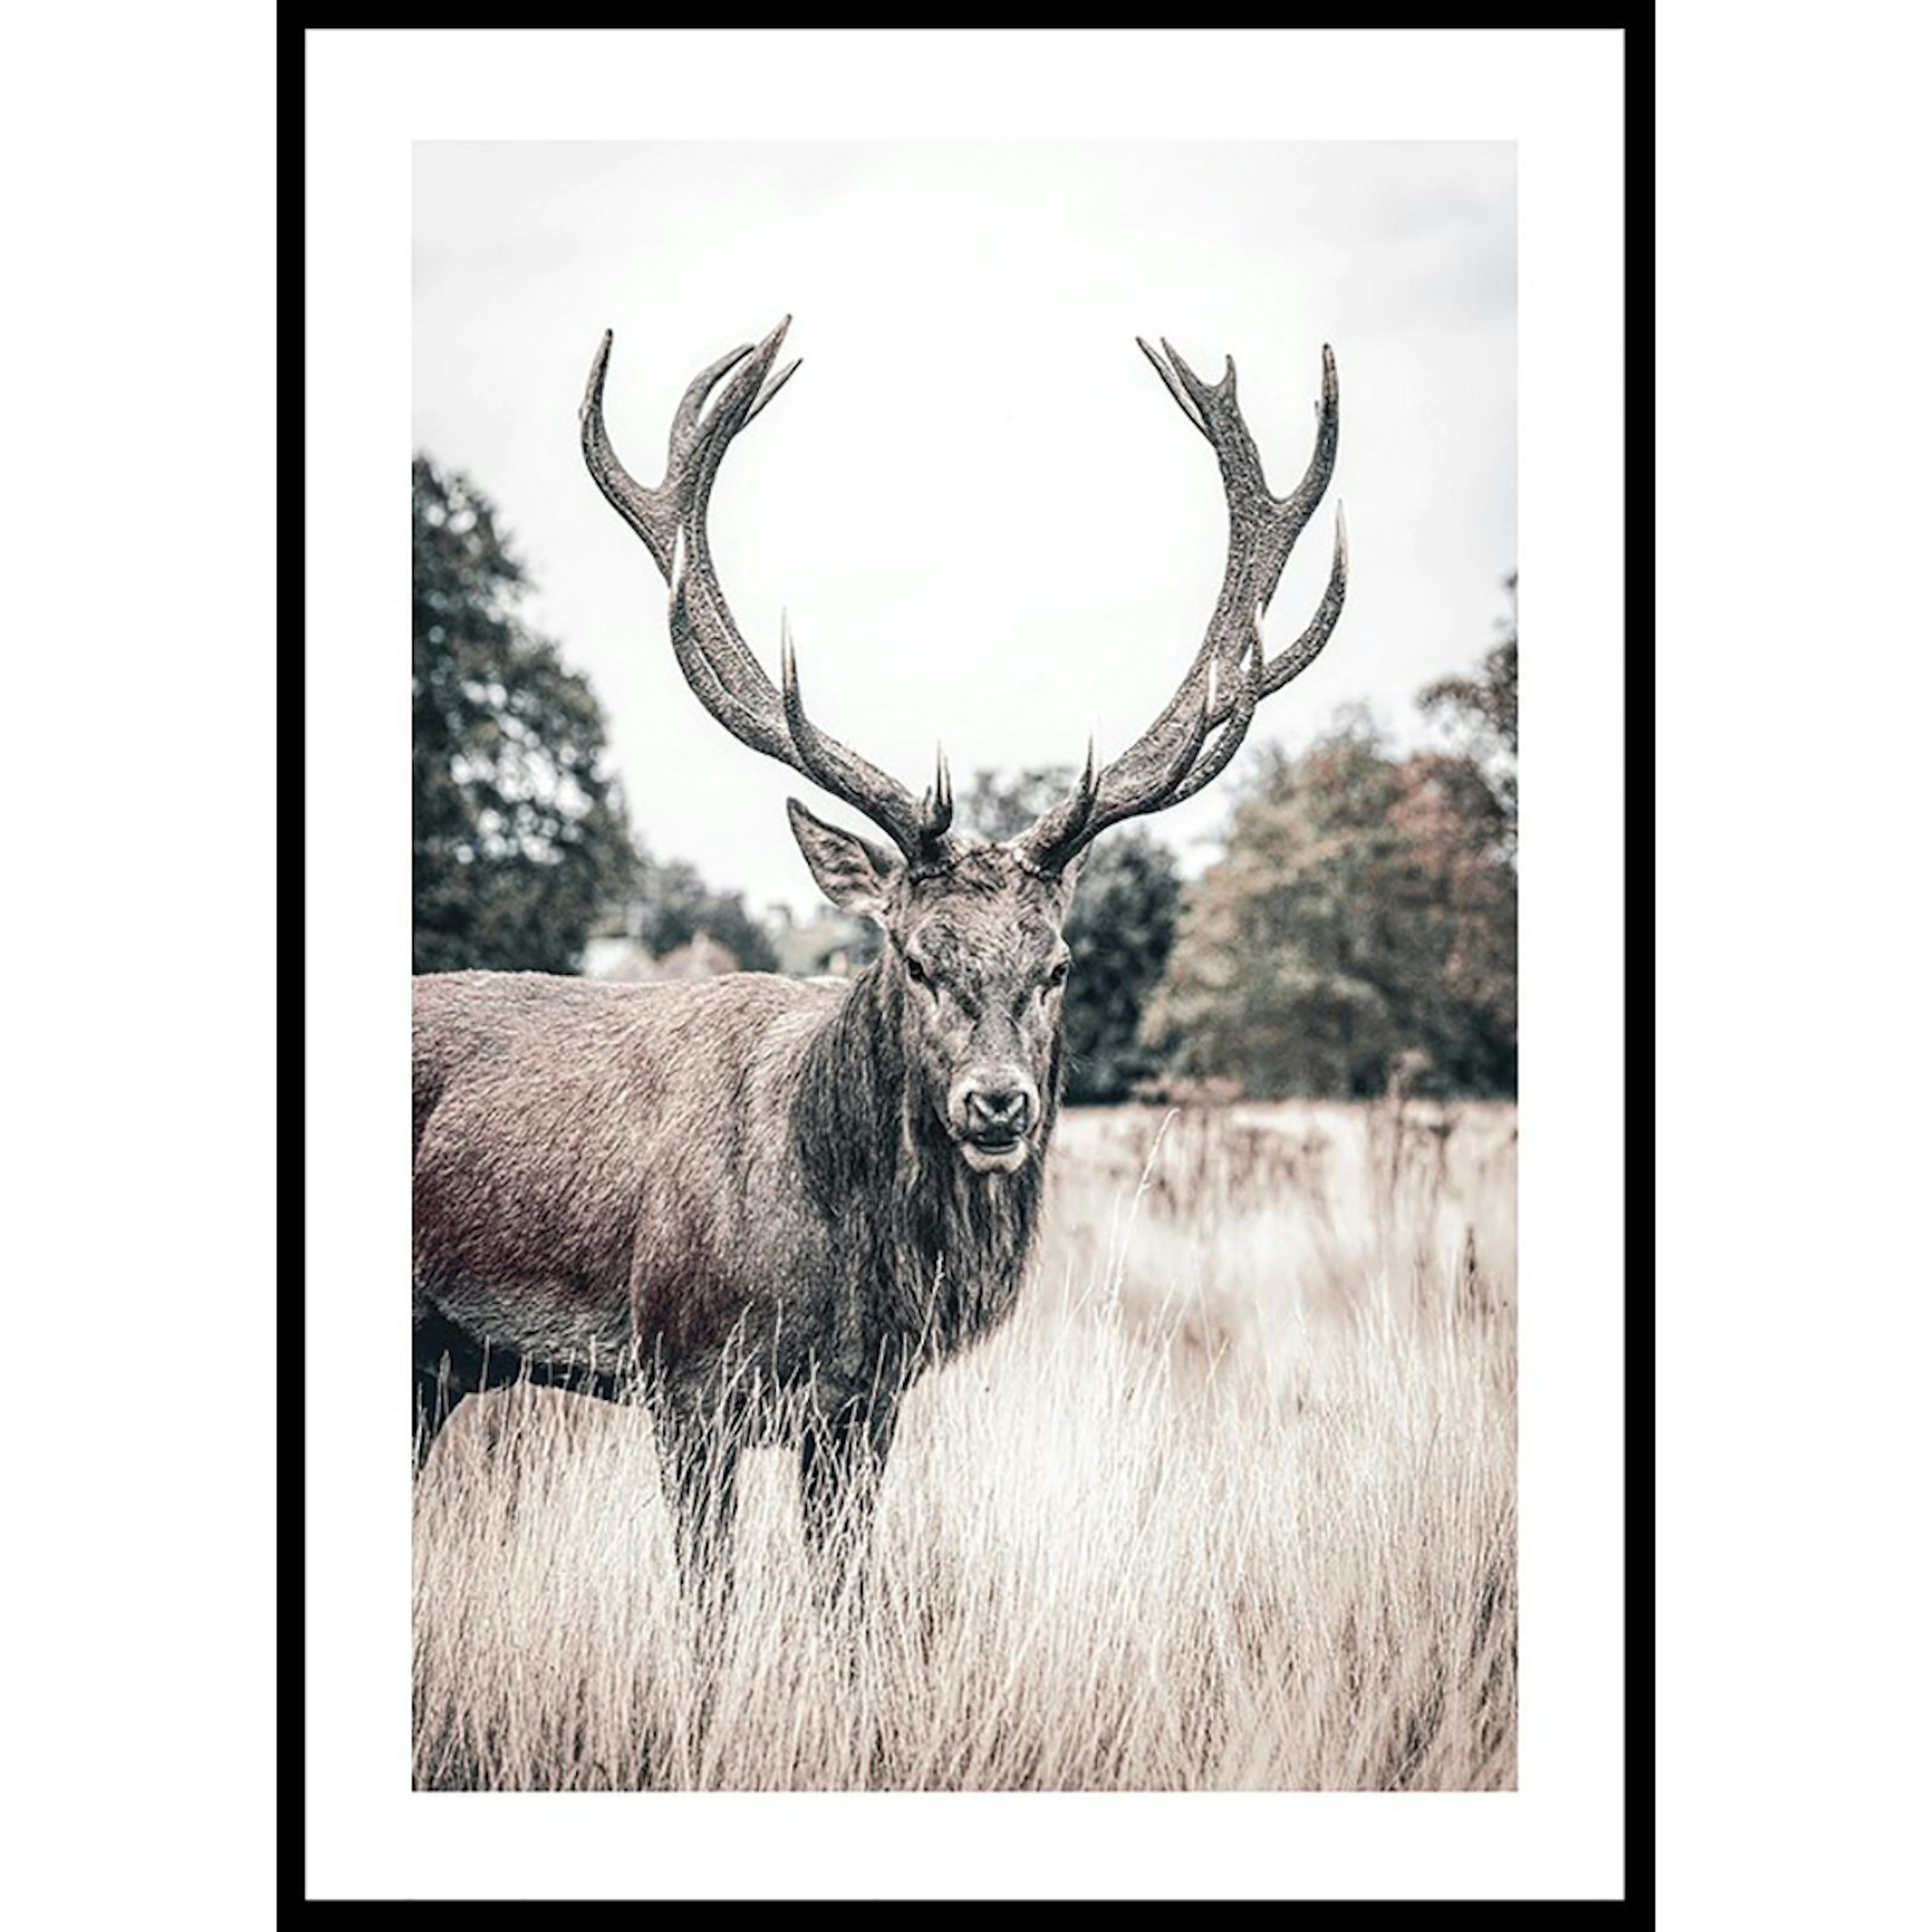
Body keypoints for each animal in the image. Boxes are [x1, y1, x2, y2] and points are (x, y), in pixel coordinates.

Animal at [411, 318, 1346, 1603]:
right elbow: (708, 1612)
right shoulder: (683, 1377)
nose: (997, 1104)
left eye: (1057, 963)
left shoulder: (863, 1406)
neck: (846, 1277)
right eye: (911, 955)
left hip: (441, 1365)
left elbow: (845, 1600)